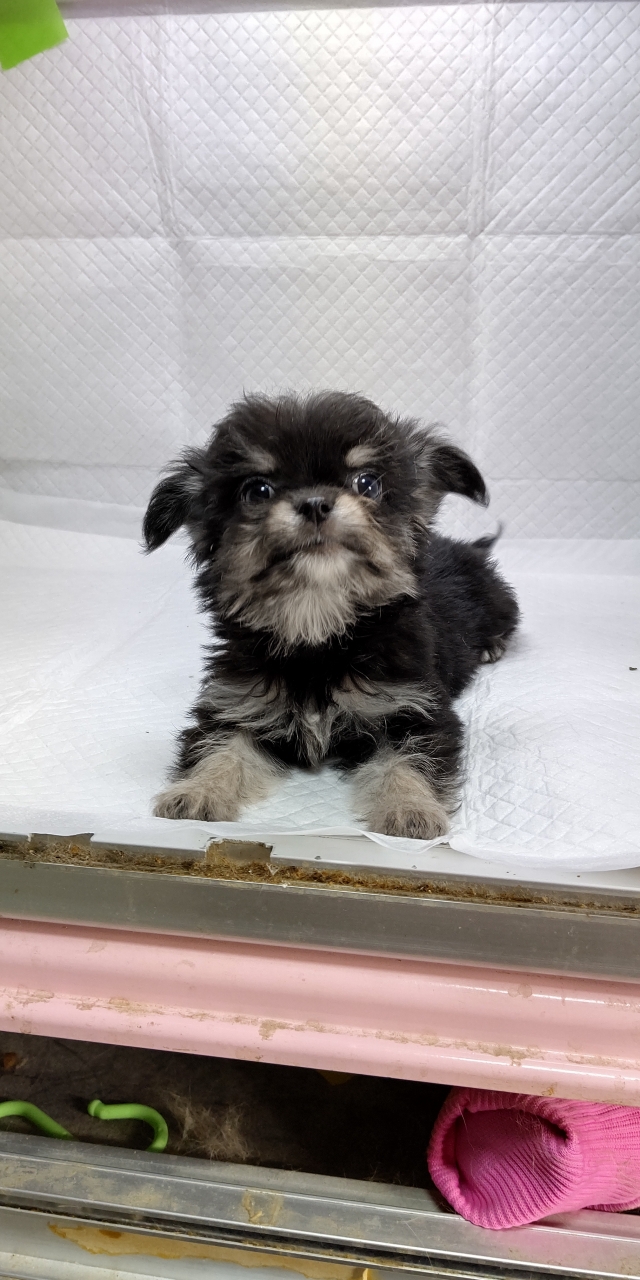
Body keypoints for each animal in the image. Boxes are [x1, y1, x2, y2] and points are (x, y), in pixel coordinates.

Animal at [143, 392, 519, 839]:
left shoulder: (415, 708)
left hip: (498, 600)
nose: (315, 503)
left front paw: (410, 810)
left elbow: (409, 761)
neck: (317, 632)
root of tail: (467, 546)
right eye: (257, 491)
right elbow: (218, 748)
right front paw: (197, 792)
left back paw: (492, 646)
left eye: (367, 483)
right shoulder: (237, 705)